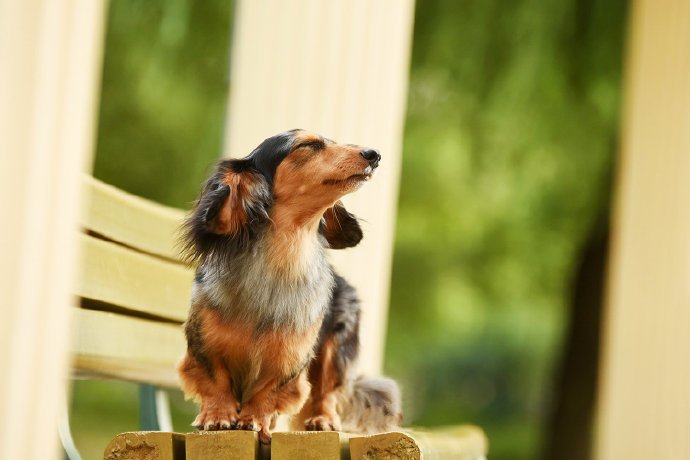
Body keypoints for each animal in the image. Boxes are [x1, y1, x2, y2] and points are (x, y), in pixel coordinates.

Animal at [177, 128, 400, 442]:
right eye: (307, 145)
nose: (374, 154)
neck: (279, 262)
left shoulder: (290, 358)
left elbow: (268, 391)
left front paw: (253, 419)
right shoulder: (204, 345)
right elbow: (216, 380)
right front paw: (218, 415)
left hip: (336, 349)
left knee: (328, 392)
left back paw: (322, 419)